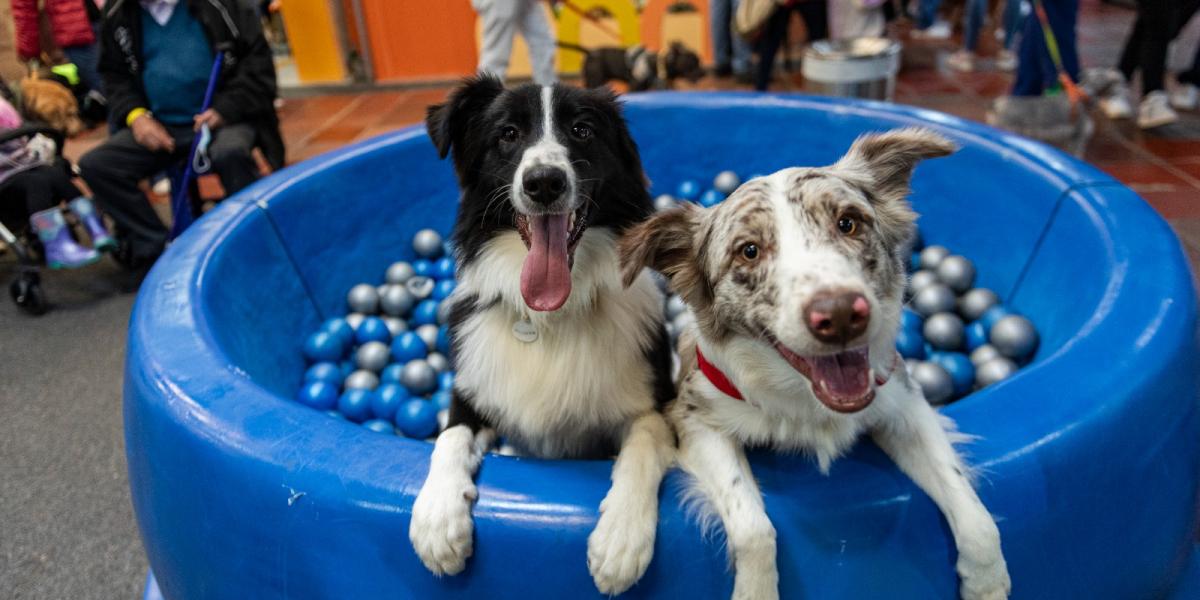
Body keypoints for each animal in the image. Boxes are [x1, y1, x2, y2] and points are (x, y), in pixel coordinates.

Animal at [410, 76, 676, 595]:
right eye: (508, 134)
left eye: (583, 130)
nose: (544, 182)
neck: (551, 318)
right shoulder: (474, 390)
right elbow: (450, 438)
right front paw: (436, 519)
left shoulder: (654, 401)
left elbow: (644, 444)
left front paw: (621, 539)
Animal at [614, 130, 1008, 600]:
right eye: (749, 251)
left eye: (848, 223)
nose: (839, 315)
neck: (805, 398)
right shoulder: (696, 422)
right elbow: (754, 525)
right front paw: (756, 592)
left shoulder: (906, 406)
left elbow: (971, 506)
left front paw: (987, 583)